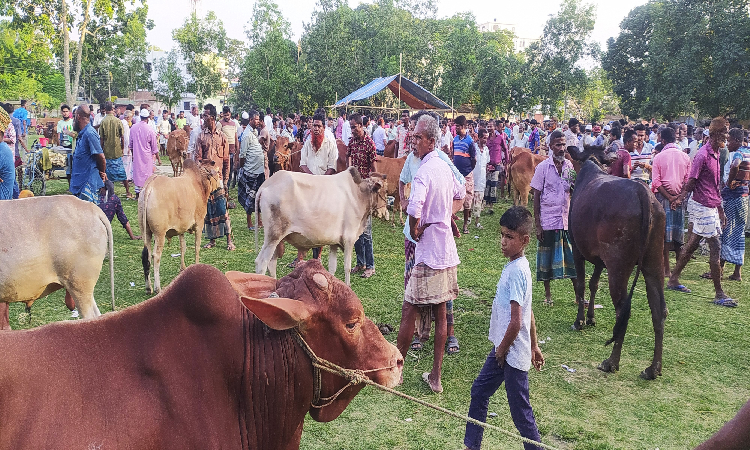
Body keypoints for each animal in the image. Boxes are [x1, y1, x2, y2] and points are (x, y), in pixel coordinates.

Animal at [140, 159, 220, 296]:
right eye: (218, 173)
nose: (222, 187)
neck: (199, 183)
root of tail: (150, 186)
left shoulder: (181, 229)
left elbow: (183, 247)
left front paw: (183, 268)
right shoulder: (199, 225)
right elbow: (197, 248)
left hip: (146, 232)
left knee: (146, 256)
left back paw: (148, 288)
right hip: (159, 234)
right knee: (155, 256)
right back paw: (157, 288)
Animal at [258, 167, 388, 284]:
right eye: (385, 191)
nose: (384, 212)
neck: (358, 194)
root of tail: (266, 184)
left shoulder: (334, 243)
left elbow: (332, 269)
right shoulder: (349, 239)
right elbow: (347, 268)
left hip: (278, 240)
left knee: (272, 263)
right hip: (273, 237)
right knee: (261, 262)